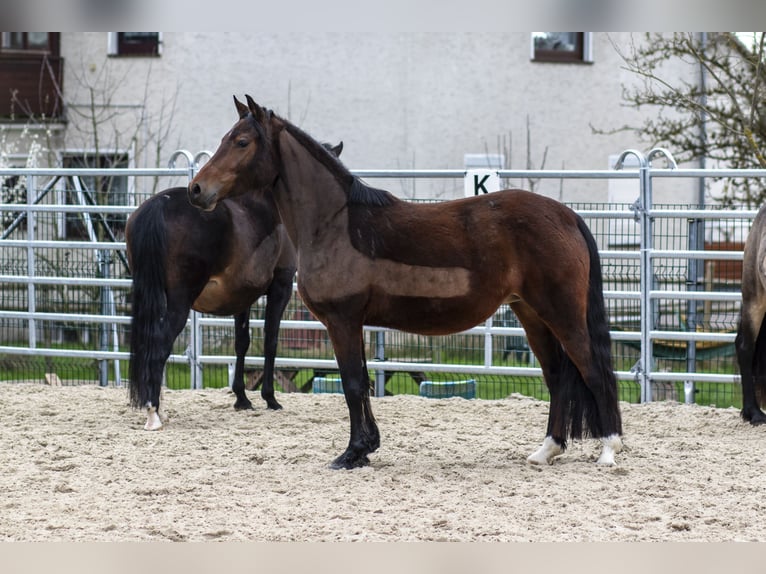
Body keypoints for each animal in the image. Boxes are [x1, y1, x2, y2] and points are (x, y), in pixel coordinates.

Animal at [125, 141, 342, 432]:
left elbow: (242, 342)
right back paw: (153, 414)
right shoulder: (281, 286)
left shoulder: (242, 296)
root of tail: (160, 205)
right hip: (179, 301)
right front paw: (270, 398)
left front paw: (241, 398)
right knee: (159, 346)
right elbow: (270, 341)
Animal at [186, 95, 624, 472]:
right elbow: (362, 383)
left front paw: (352, 453)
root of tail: (566, 216)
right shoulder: (355, 324)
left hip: (562, 314)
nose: (196, 189)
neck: (335, 223)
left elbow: (353, 385)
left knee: (592, 370)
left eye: (242, 141)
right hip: (531, 314)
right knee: (557, 377)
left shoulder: (342, 321)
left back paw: (608, 450)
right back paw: (546, 450)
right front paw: (365, 448)